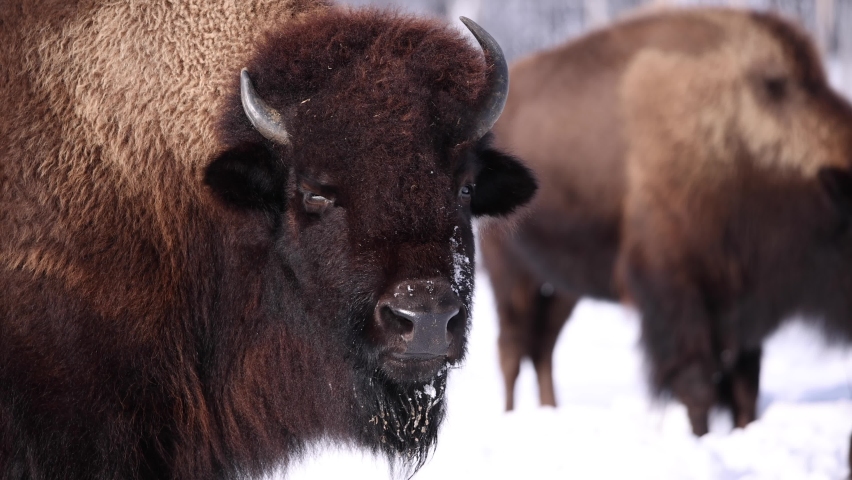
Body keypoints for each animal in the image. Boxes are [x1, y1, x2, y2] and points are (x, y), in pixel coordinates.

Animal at [481, 6, 852, 440]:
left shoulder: (742, 304)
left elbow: (745, 388)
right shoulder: (676, 290)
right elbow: (697, 384)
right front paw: (701, 438)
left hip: (561, 286)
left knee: (542, 348)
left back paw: (550, 413)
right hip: (511, 274)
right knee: (512, 348)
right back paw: (510, 418)